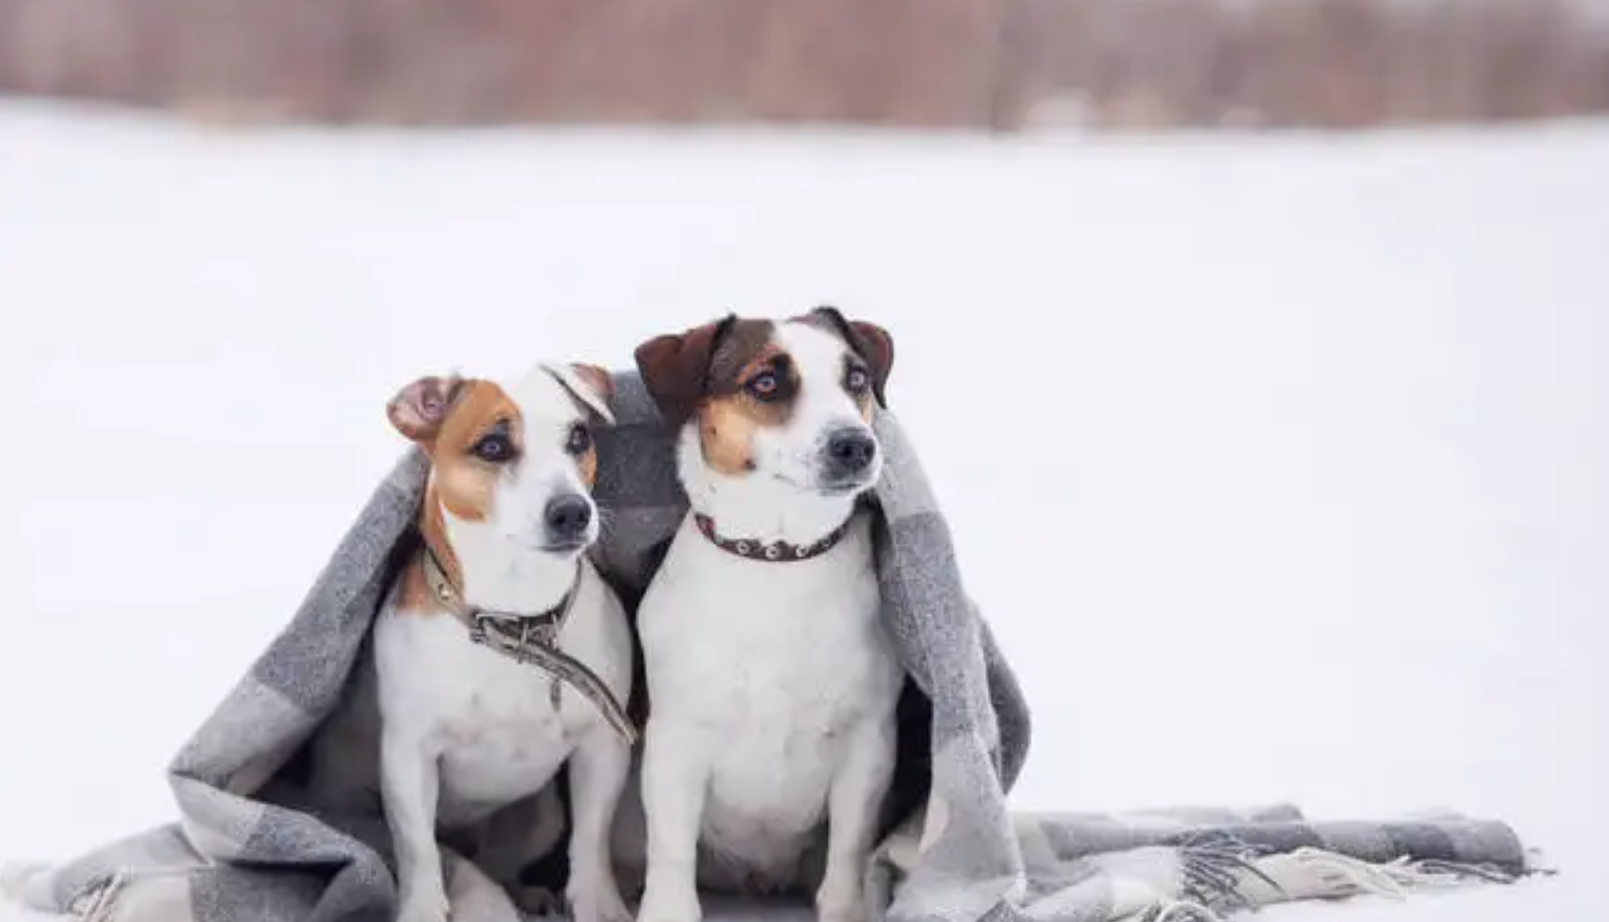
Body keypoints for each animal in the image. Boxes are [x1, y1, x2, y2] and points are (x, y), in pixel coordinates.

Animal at [310, 358, 637, 920]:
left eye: (578, 438)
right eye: (493, 446)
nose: (573, 511)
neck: (515, 622)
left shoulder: (602, 746)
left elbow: (591, 841)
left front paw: (599, 905)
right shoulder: (409, 756)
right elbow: (418, 849)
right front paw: (420, 909)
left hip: (540, 818)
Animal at [627, 305, 907, 920]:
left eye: (855, 378)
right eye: (765, 383)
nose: (856, 445)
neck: (777, 558)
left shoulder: (868, 741)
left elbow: (850, 846)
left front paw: (846, 907)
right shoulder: (675, 739)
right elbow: (670, 848)